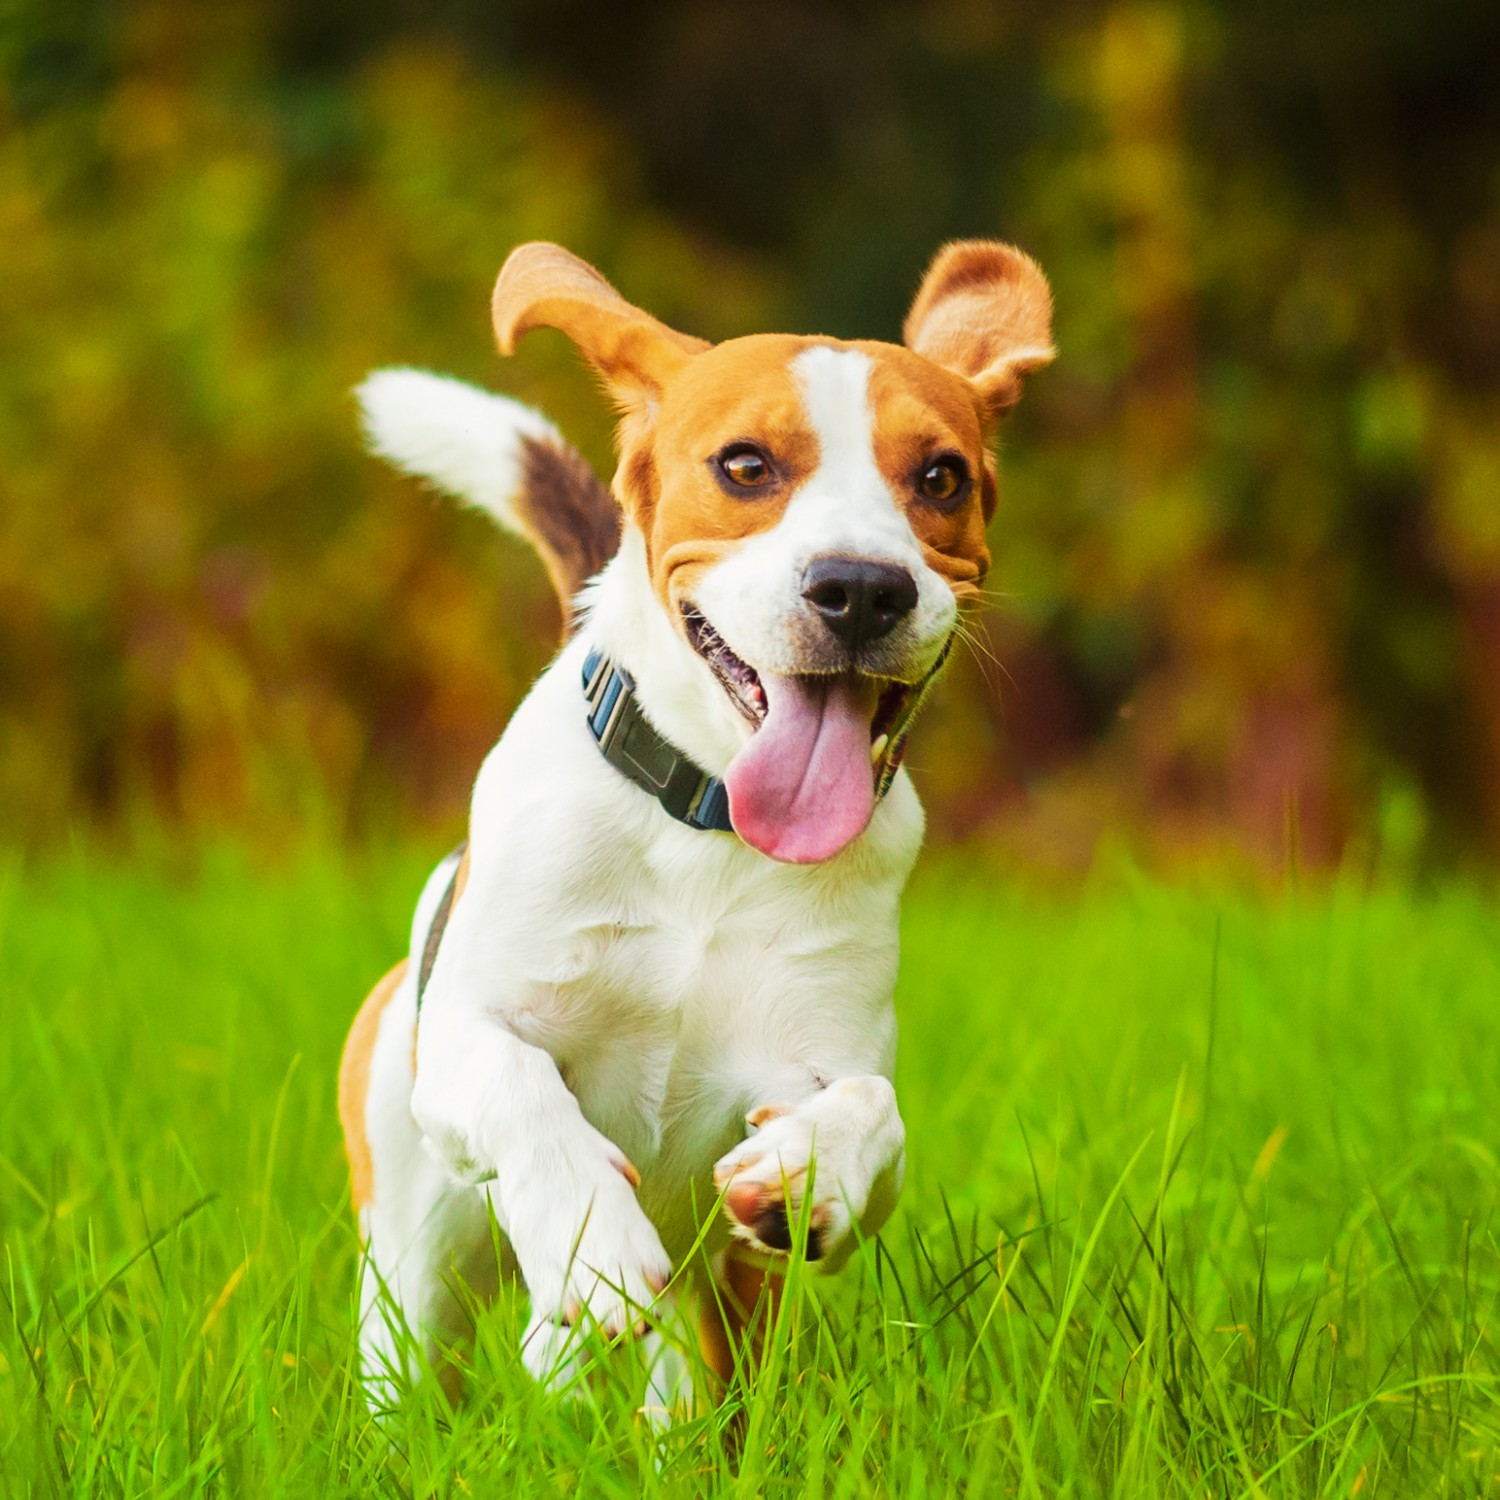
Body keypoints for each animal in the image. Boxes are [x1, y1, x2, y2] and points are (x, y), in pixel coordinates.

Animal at [337, 240, 1056, 1410]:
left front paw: (805, 1177)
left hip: (706, 1316)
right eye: (746, 466)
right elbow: (519, 1083)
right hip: (410, 1264)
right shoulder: (466, 1039)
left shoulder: (815, 1059)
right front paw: (590, 1239)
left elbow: (872, 1109)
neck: (710, 830)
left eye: (942, 478)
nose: (861, 589)